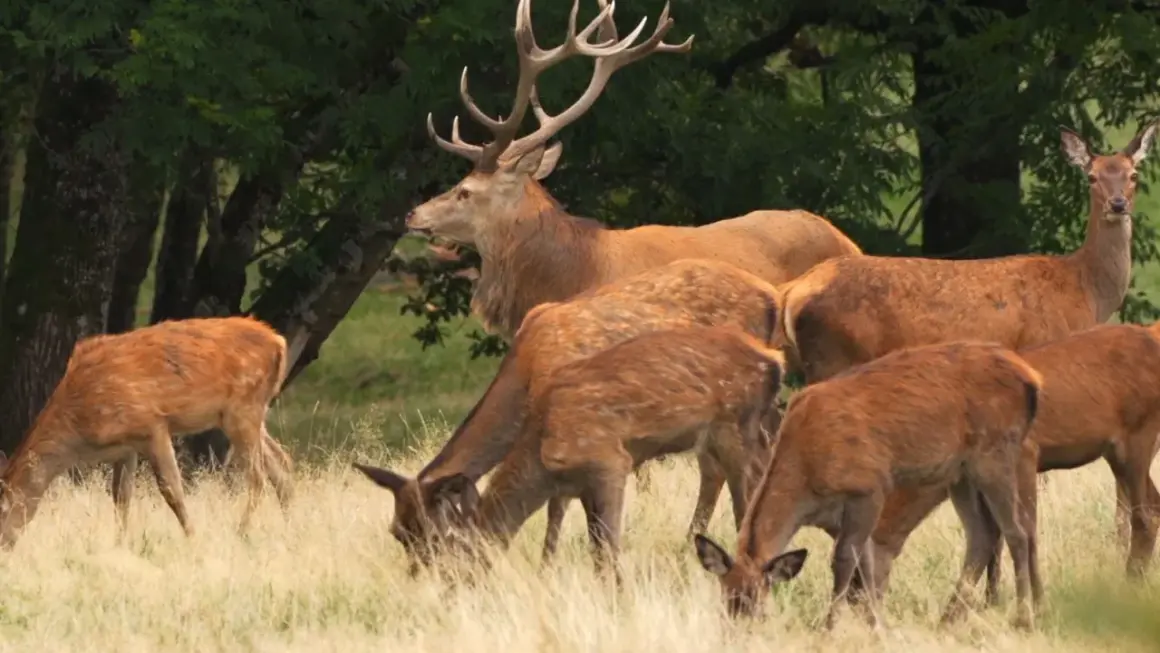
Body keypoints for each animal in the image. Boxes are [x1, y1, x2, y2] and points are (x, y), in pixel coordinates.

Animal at [0, 316, 295, 547]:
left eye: (1, 510)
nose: (6, 546)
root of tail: (279, 342)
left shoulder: (151, 424)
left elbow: (171, 490)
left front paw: (193, 538)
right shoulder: (126, 445)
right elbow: (120, 496)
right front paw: (120, 544)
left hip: (243, 408)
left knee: (257, 476)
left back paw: (241, 532)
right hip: (243, 414)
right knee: (281, 464)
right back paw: (289, 529)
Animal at [351, 259, 785, 574]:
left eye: (434, 534)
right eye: (398, 532)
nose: (420, 577)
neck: (526, 372)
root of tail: (772, 296)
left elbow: (557, 505)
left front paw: (547, 567)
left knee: (728, 469)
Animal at [694, 341, 1045, 631]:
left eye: (755, 601)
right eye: (725, 599)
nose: (736, 630)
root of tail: (1031, 380)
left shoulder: (868, 486)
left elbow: (844, 562)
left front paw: (829, 626)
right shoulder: (839, 515)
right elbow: (867, 566)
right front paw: (876, 623)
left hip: (995, 451)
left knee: (1016, 531)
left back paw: (1023, 618)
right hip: (961, 473)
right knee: (982, 535)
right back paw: (948, 619)